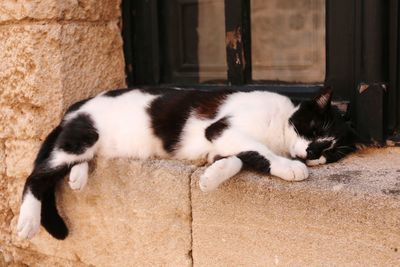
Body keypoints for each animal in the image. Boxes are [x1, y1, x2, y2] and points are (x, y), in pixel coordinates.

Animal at [15, 86, 360, 241]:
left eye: (330, 151)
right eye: (313, 130)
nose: (313, 153)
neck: (279, 128)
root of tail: (78, 104)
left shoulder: (223, 142)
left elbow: (238, 160)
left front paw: (211, 177)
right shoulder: (222, 129)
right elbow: (260, 151)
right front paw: (289, 167)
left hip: (87, 144)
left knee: (70, 164)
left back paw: (79, 176)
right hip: (85, 135)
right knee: (36, 176)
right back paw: (28, 221)